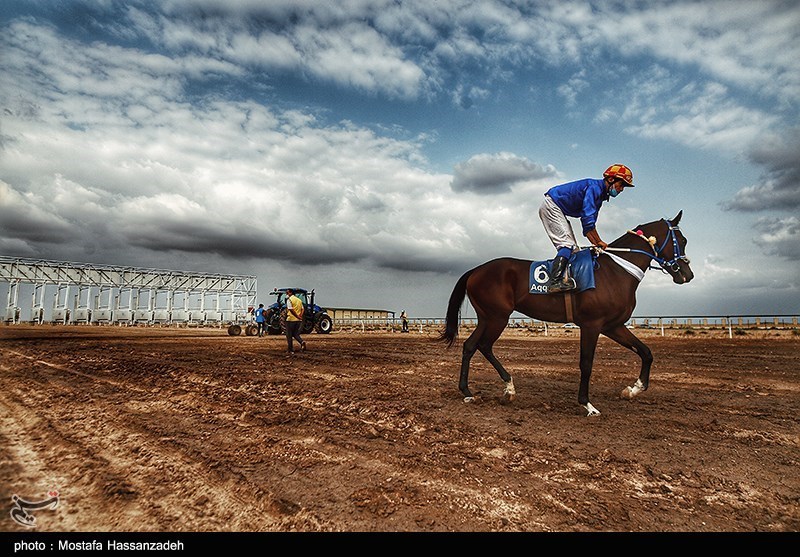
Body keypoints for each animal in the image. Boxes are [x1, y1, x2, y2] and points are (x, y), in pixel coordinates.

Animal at [438, 211, 692, 414]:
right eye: (682, 240)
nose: (687, 274)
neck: (616, 271)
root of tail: (475, 270)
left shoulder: (613, 326)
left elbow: (646, 352)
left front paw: (633, 389)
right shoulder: (592, 324)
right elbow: (586, 363)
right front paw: (587, 404)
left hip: (486, 317)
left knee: (471, 346)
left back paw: (472, 391)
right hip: (497, 317)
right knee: (483, 345)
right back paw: (505, 387)